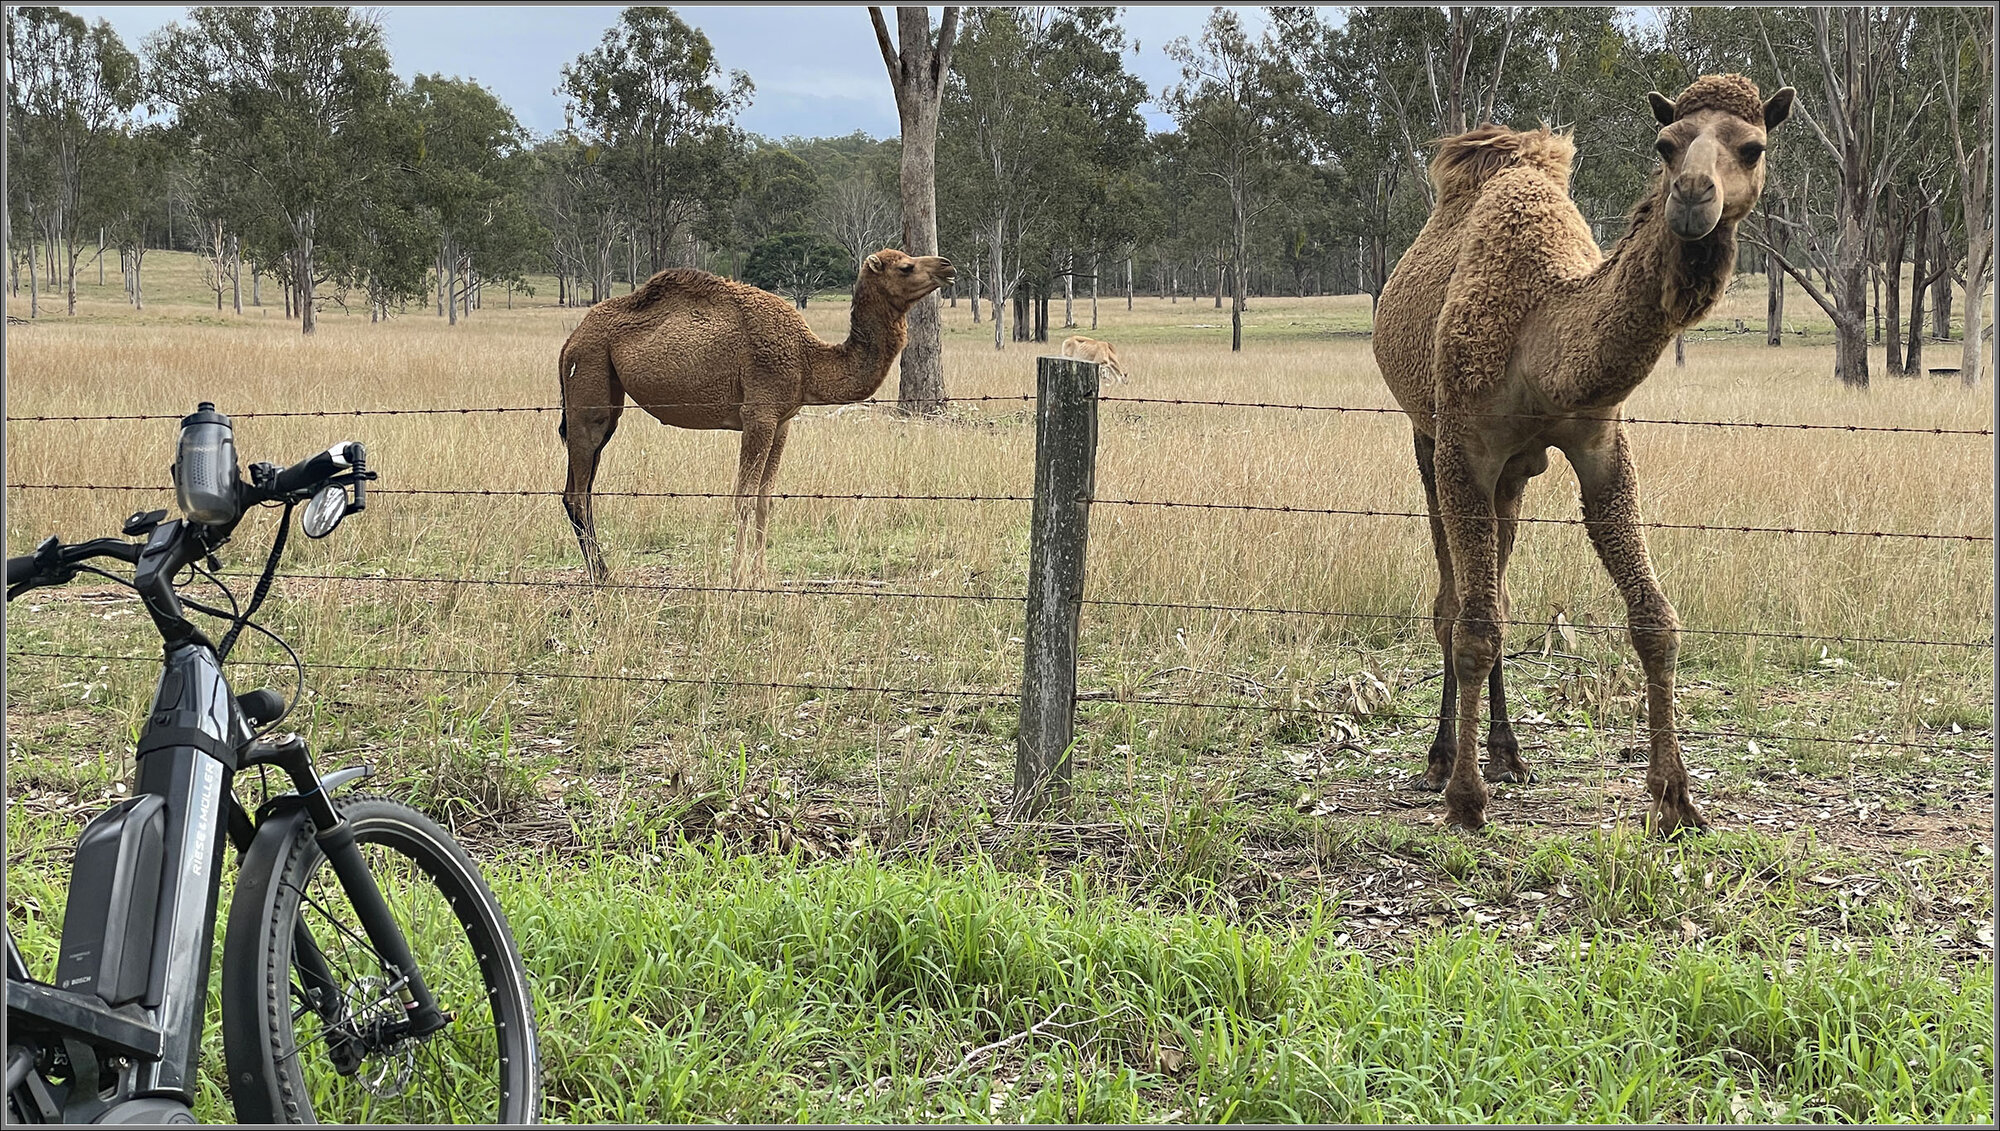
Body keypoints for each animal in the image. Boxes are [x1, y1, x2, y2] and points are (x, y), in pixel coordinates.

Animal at [552, 247, 948, 583]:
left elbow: (763, 500)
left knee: (583, 488)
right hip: (589, 380)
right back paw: (602, 575)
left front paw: (760, 576)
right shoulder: (759, 414)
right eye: (906, 266)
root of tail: (570, 341)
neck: (807, 360)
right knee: (577, 493)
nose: (947, 266)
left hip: (606, 398)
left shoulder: (783, 421)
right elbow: (742, 499)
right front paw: (737, 578)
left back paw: (601, 571)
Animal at [1376, 70, 1800, 835]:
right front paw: (1464, 799)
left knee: (1497, 583)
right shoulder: (1463, 447)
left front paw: (1675, 799)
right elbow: (1471, 623)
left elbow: (1655, 619)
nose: (1692, 197)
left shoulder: (1600, 442)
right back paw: (1442, 758)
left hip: (1514, 475)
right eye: (1666, 143)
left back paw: (1508, 753)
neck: (1540, 331)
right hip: (1426, 440)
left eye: (1752, 146)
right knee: (1454, 601)